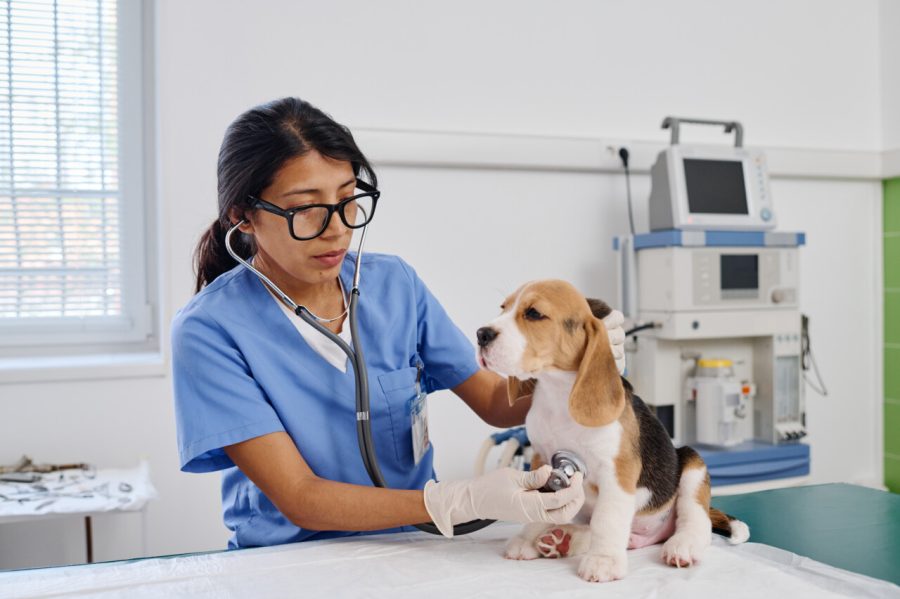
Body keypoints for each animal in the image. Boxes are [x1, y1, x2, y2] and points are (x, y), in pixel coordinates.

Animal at [474, 284, 748, 584]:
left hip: (692, 466)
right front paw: (527, 537)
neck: (558, 395)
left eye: (533, 313)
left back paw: (682, 545)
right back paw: (563, 539)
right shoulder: (541, 460)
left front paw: (603, 561)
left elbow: (607, 519)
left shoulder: (618, 472)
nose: (481, 334)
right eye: (503, 308)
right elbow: (539, 505)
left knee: (696, 520)